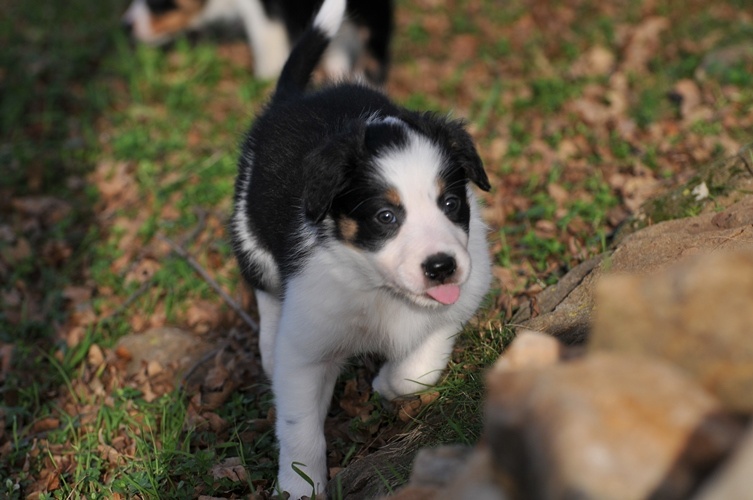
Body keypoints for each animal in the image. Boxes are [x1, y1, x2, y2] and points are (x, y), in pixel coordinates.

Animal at [229, 0, 490, 496]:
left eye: (450, 203)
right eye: (386, 217)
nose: (441, 267)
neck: (377, 287)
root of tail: (290, 100)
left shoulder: (462, 296)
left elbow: (420, 365)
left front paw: (387, 383)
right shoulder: (305, 350)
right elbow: (300, 431)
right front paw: (299, 488)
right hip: (249, 226)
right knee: (264, 288)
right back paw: (268, 347)